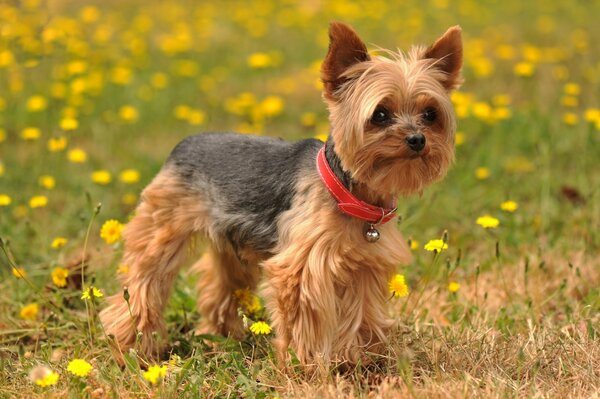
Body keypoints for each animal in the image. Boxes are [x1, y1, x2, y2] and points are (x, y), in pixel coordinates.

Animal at [101, 21, 462, 366]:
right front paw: (308, 365)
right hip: (162, 225)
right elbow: (306, 319)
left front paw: (361, 360)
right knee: (144, 281)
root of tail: (185, 142)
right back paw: (131, 345)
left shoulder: (366, 267)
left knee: (220, 286)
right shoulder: (303, 268)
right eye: (381, 114)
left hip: (233, 245)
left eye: (431, 114)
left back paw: (224, 336)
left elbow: (361, 314)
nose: (417, 139)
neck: (350, 192)